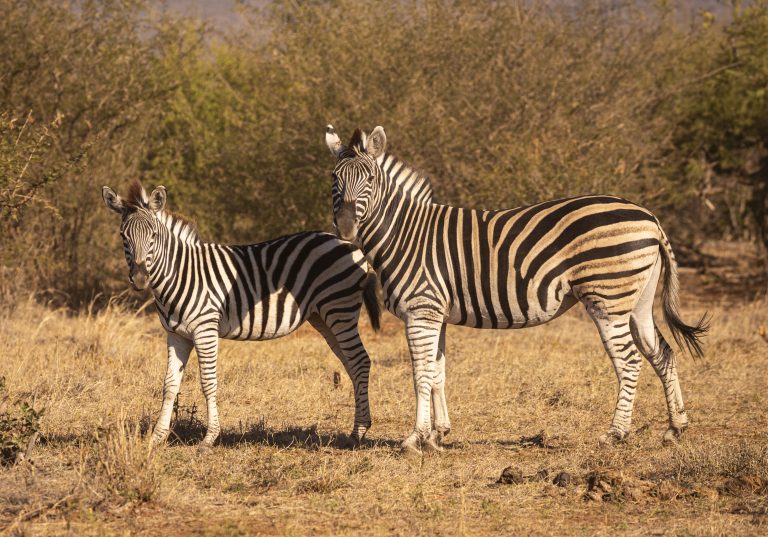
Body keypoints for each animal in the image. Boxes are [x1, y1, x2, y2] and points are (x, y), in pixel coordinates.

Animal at [102, 181, 380, 450]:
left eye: (154, 235)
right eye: (123, 236)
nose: (140, 279)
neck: (181, 273)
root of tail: (351, 245)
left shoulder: (205, 329)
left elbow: (208, 382)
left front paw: (209, 438)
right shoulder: (176, 334)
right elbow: (169, 385)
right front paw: (156, 438)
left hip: (339, 309)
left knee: (360, 361)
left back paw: (357, 433)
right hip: (323, 316)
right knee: (351, 363)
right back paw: (359, 427)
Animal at [324, 125, 708, 456]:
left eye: (370, 179)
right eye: (334, 179)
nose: (345, 228)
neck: (404, 234)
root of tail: (650, 218)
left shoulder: (421, 310)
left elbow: (420, 374)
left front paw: (414, 439)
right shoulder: (436, 313)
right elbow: (437, 374)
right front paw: (437, 436)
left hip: (608, 299)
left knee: (629, 361)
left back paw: (615, 434)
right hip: (636, 300)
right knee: (662, 353)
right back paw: (675, 428)